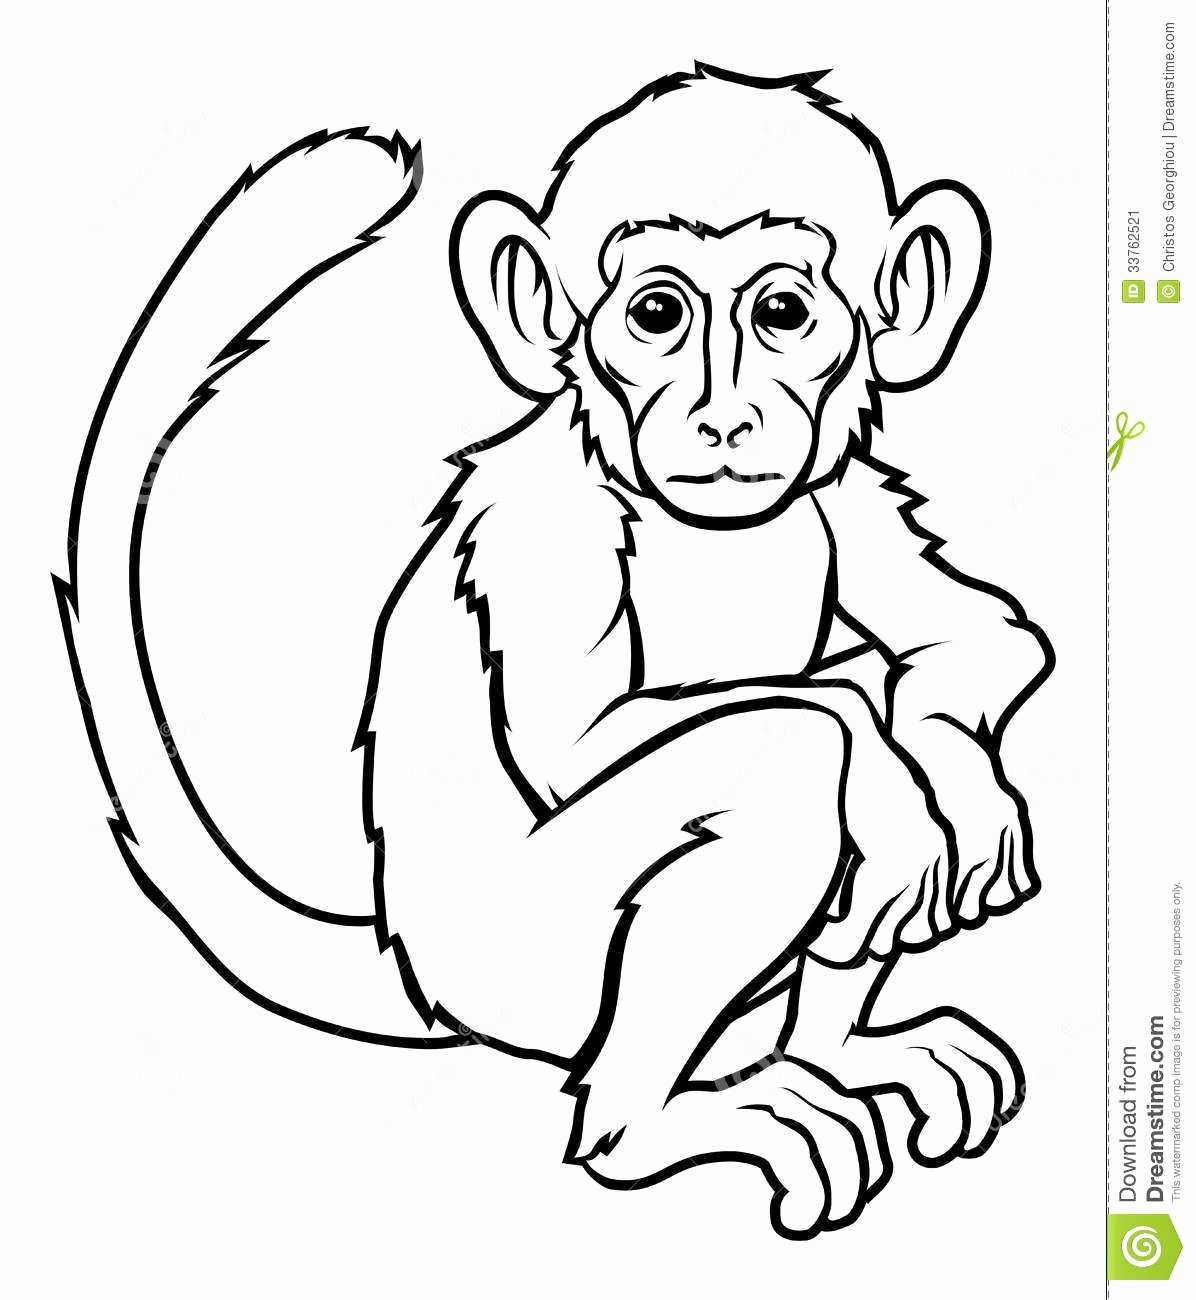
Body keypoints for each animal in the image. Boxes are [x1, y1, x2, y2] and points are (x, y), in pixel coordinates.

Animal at [59, 66, 1053, 1242]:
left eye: (782, 312)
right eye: (656, 313)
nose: (724, 420)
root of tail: (409, 957)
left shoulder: (840, 486)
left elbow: (977, 636)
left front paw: (956, 775)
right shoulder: (542, 524)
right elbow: (607, 743)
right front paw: (897, 783)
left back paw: (833, 1050)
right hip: (529, 959)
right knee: (789, 755)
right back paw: (652, 1124)